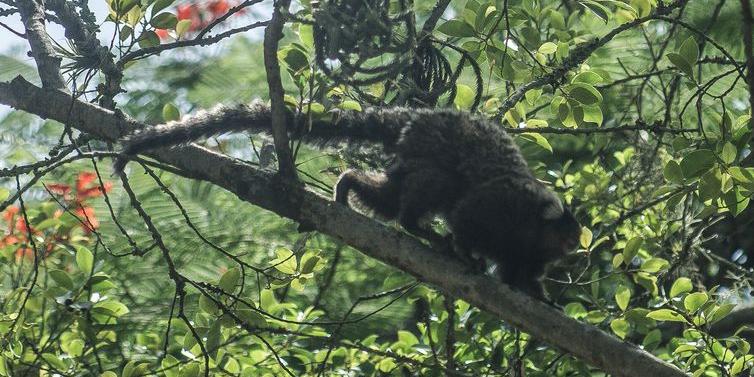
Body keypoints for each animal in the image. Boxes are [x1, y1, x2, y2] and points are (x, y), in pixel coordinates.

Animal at [114, 101, 580, 298]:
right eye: (569, 236)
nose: (576, 249)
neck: (531, 228)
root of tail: (416, 119)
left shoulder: (528, 254)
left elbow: (521, 276)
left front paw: (541, 298)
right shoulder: (500, 207)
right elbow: (467, 218)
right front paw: (466, 253)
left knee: (391, 196)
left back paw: (351, 184)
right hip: (431, 149)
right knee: (437, 187)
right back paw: (420, 228)